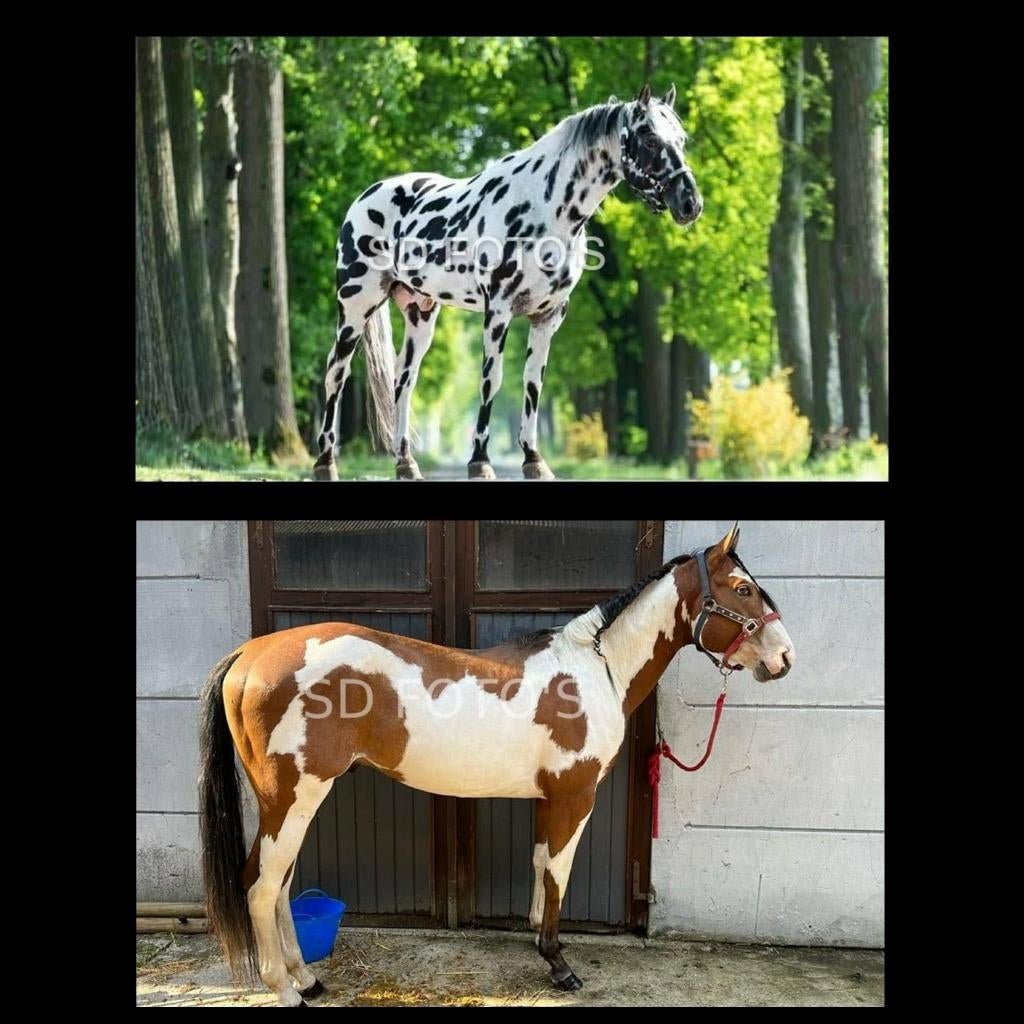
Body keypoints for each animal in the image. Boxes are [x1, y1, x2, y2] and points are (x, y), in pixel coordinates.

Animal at [198, 524, 793, 1005]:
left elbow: (540, 863)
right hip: (293, 797)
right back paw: (284, 989)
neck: (594, 670)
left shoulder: (549, 799)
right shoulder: (574, 797)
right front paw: (559, 964)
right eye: (742, 589)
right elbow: (558, 872)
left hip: (290, 802)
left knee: (277, 884)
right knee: (261, 887)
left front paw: (539, 941)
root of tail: (250, 655)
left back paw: (307, 978)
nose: (784, 658)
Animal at [312, 83, 703, 482]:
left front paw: (534, 459)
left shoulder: (548, 317)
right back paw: (325, 463)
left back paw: (406, 464)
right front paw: (480, 463)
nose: (690, 204)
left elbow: (533, 383)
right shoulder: (498, 311)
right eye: (651, 139)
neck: (546, 205)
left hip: (420, 315)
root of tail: (365, 197)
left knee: (403, 382)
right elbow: (492, 380)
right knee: (335, 374)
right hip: (355, 307)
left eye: (682, 139)